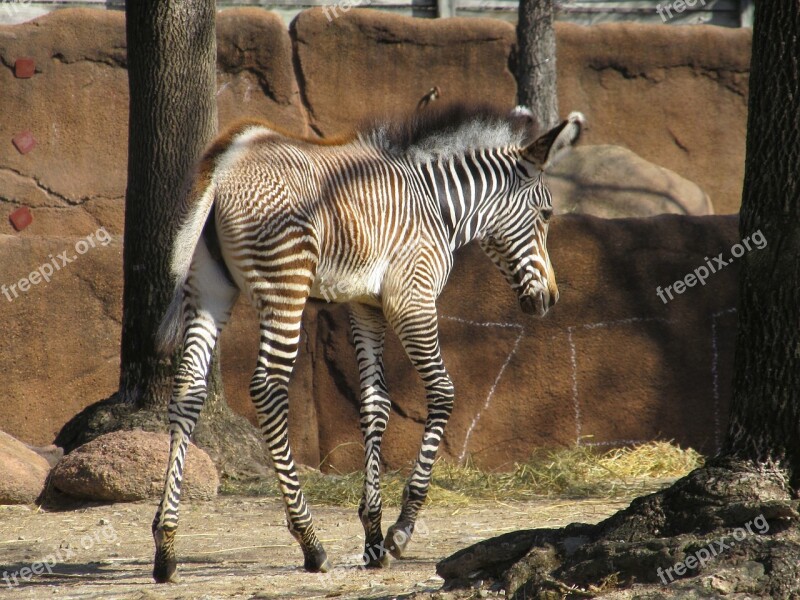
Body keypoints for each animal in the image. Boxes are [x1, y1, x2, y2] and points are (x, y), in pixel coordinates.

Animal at [152, 103, 588, 580]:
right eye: (546, 214)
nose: (550, 300)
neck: (438, 205)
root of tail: (228, 163)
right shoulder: (412, 299)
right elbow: (442, 392)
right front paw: (401, 529)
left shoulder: (366, 305)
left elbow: (374, 404)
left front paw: (374, 536)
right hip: (286, 284)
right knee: (267, 389)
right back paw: (310, 541)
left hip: (209, 288)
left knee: (189, 390)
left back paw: (166, 545)